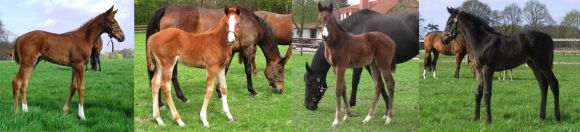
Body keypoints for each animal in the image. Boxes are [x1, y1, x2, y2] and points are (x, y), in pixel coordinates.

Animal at [145, 5, 290, 108]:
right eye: (279, 70)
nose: (280, 90)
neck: (249, 22)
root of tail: (166, 8)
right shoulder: (247, 49)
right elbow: (248, 71)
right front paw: (252, 91)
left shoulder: (232, 51)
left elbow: (225, 70)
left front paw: (219, 92)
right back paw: (174, 100)